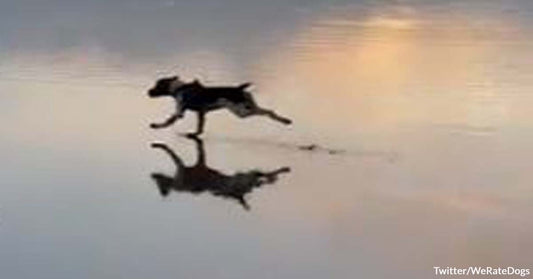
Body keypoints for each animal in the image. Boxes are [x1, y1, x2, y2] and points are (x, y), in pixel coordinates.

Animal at [148, 76, 294, 137]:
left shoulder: (179, 112)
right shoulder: (201, 113)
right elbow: (200, 127)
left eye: (157, 85)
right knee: (269, 111)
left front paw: (156, 126)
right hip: (247, 106)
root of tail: (239, 88)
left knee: (266, 112)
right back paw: (286, 121)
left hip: (240, 112)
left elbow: (167, 121)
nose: (148, 92)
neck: (179, 88)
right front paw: (195, 134)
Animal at [150, 137, 290, 211]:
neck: (175, 185)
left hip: (245, 178)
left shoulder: (180, 167)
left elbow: (170, 152)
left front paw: (158, 145)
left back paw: (282, 171)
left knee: (262, 176)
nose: (152, 176)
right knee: (262, 176)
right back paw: (282, 171)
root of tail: (239, 195)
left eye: (158, 184)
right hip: (247, 177)